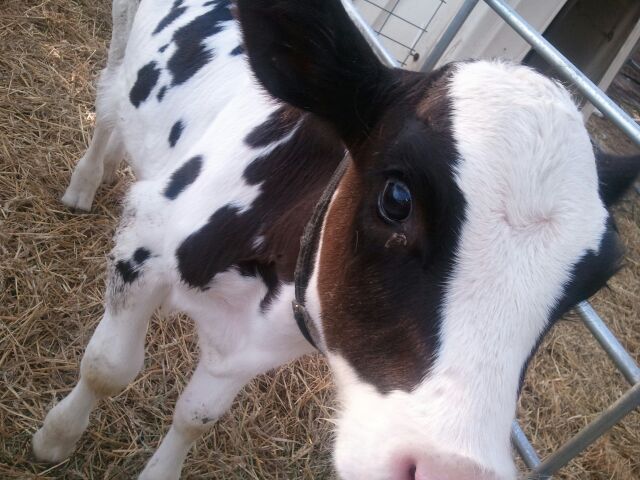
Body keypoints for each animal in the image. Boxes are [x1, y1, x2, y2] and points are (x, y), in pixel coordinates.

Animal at [32, 0, 636, 480]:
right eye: (397, 198)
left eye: (591, 284)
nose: (449, 472)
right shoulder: (145, 244)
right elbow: (107, 367)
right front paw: (55, 438)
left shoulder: (261, 343)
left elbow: (198, 416)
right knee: (110, 97)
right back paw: (86, 181)